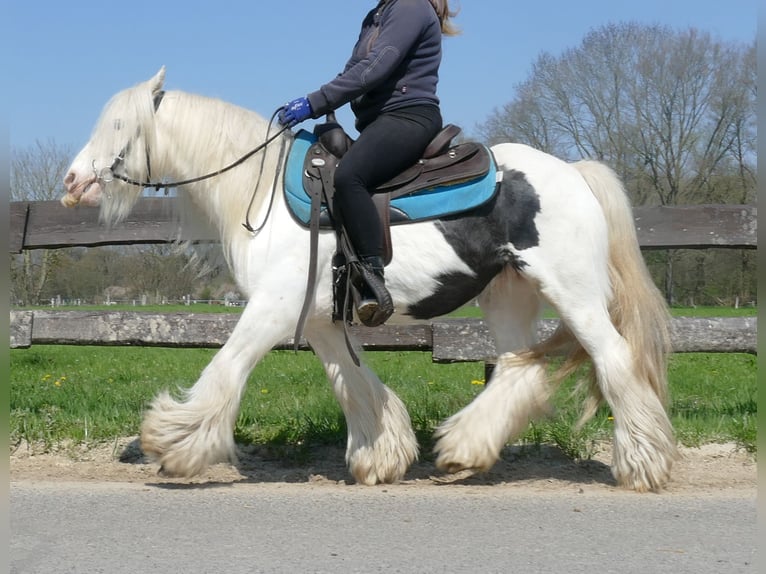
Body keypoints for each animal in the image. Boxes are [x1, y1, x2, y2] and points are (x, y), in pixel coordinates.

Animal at [63, 66, 680, 490]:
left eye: (119, 125)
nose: (71, 182)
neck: (262, 196)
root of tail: (574, 172)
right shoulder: (320, 321)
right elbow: (356, 386)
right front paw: (383, 456)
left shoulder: (272, 308)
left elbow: (226, 370)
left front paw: (172, 443)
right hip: (508, 296)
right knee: (518, 371)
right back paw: (463, 447)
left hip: (574, 296)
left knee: (615, 361)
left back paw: (643, 464)